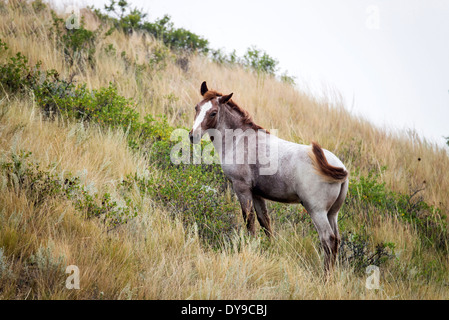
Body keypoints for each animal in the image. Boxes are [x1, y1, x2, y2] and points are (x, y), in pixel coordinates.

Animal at [187, 81, 348, 272]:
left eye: (213, 112)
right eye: (197, 107)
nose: (193, 135)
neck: (240, 140)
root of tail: (339, 168)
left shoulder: (242, 188)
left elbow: (249, 220)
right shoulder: (257, 193)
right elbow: (265, 223)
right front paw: (270, 249)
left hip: (317, 211)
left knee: (328, 240)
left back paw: (325, 275)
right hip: (332, 213)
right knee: (336, 240)